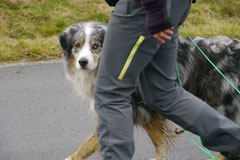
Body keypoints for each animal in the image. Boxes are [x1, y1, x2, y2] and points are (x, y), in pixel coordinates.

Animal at [58, 21, 240, 160]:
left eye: (95, 46)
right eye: (77, 45)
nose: (82, 62)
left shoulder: (134, 108)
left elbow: (88, 143)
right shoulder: (146, 111)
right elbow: (159, 142)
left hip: (225, 103)